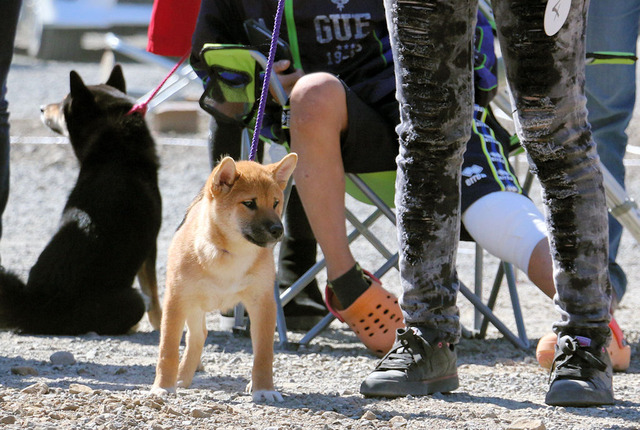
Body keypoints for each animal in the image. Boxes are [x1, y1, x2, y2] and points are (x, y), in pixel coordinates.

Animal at [0, 65, 162, 336]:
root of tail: (37, 306)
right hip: (132, 300)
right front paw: (161, 325)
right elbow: (155, 296)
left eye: (63, 102)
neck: (116, 154)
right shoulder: (151, 246)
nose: (42, 108)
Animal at [152, 155, 298, 404]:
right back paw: (182, 377)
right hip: (192, 305)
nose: (278, 230)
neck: (231, 255)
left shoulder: (262, 304)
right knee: (197, 336)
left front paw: (264, 389)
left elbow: (263, 354)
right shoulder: (176, 300)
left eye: (276, 203)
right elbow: (167, 350)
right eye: (249, 203)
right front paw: (163, 387)